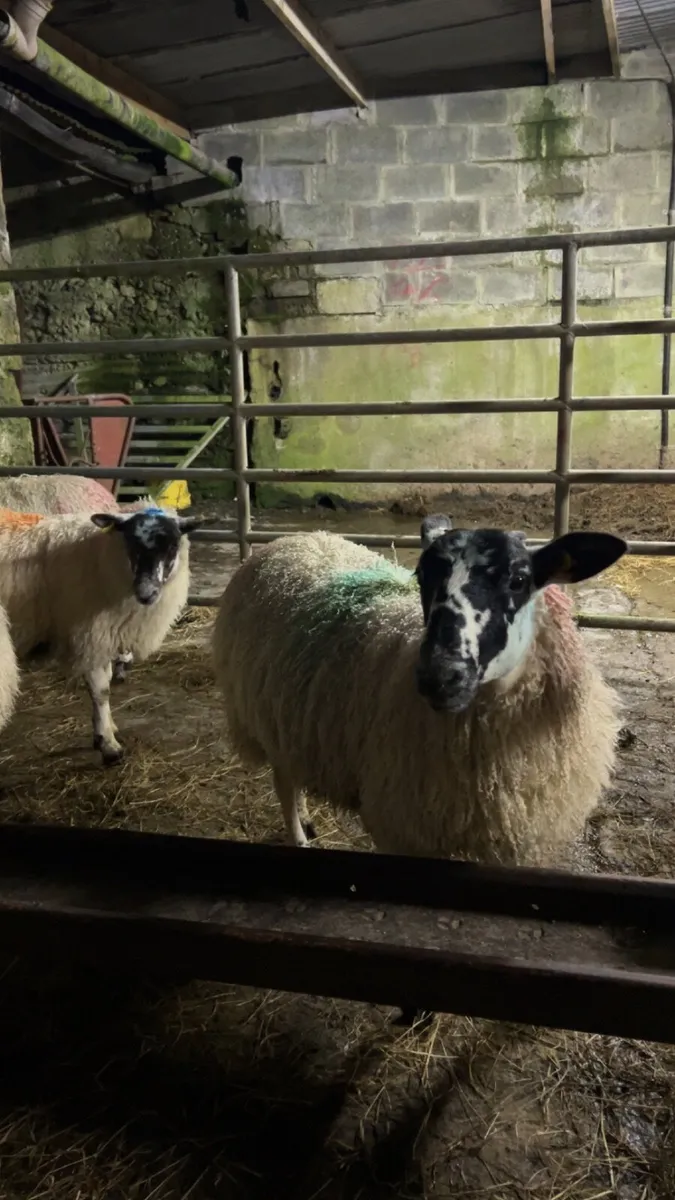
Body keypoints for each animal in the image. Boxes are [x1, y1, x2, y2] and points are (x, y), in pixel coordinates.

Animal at [0, 506, 201, 765]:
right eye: (131, 543)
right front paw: (108, 744)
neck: (100, 557)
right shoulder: (91, 634)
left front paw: (108, 728)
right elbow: (101, 690)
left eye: (173, 546)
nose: (146, 593)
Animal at [213, 517, 626, 867]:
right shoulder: (405, 829)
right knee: (283, 784)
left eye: (519, 579)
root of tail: (297, 538)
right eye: (422, 575)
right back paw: (299, 836)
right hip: (261, 713)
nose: (439, 676)